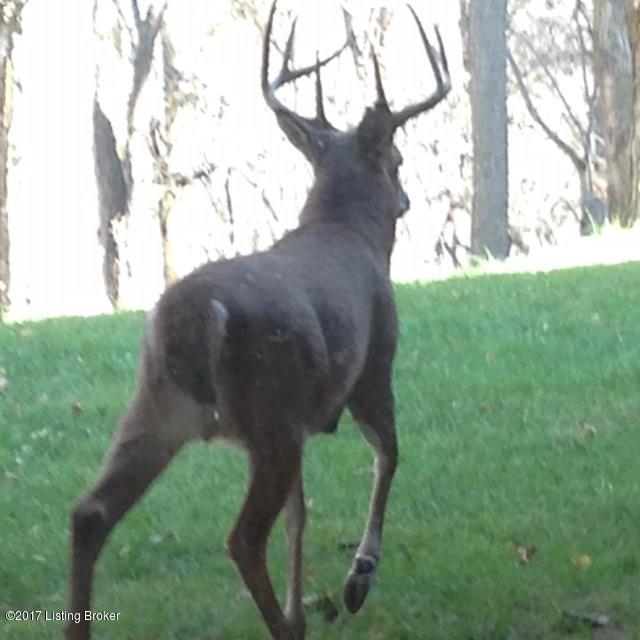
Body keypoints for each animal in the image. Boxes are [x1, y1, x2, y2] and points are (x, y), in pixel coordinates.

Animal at [66, 2, 450, 639]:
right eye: (397, 161)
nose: (406, 200)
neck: (348, 231)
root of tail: (194, 317)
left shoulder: (303, 417)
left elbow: (301, 514)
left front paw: (314, 598)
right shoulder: (374, 364)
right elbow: (388, 456)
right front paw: (358, 578)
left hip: (159, 403)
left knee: (90, 512)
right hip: (269, 403)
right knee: (243, 537)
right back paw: (287, 627)